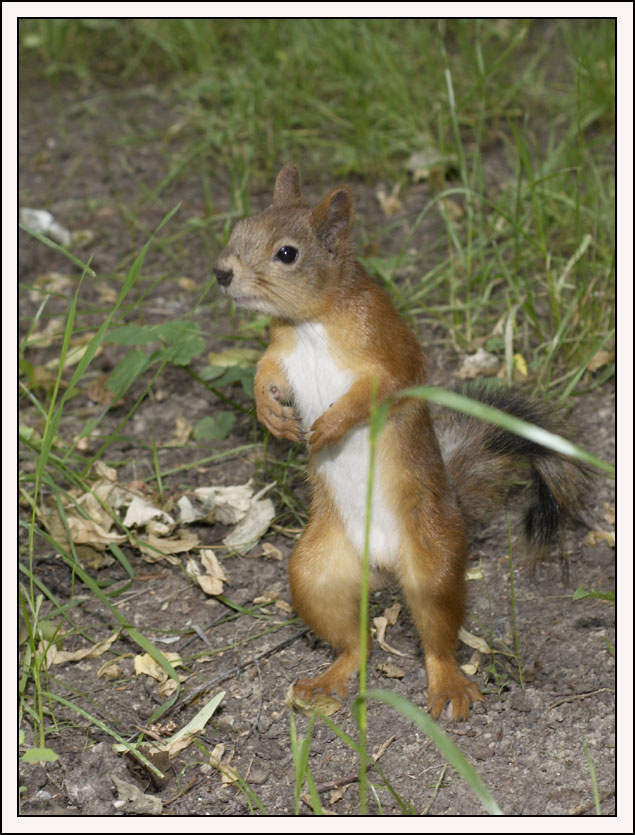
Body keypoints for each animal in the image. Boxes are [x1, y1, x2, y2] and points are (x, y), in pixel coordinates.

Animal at [213, 164, 592, 721]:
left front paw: (328, 426)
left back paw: (449, 685)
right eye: (240, 227)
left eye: (287, 253)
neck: (311, 324)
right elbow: (264, 374)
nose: (222, 272)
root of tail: (384, 563)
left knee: (438, 638)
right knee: (354, 644)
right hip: (315, 574)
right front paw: (271, 414)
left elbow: (376, 390)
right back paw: (328, 680)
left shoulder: (390, 351)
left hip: (433, 559)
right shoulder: (279, 351)